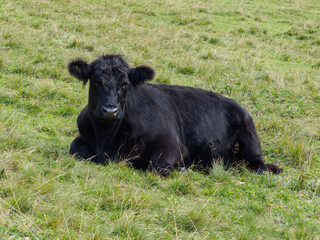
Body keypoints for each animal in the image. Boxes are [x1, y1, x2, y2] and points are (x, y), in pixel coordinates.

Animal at [68, 54, 282, 174]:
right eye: (97, 81)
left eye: (125, 84)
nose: (110, 110)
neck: (107, 138)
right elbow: (75, 149)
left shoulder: (172, 144)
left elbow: (157, 167)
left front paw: (183, 169)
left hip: (251, 146)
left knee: (260, 168)